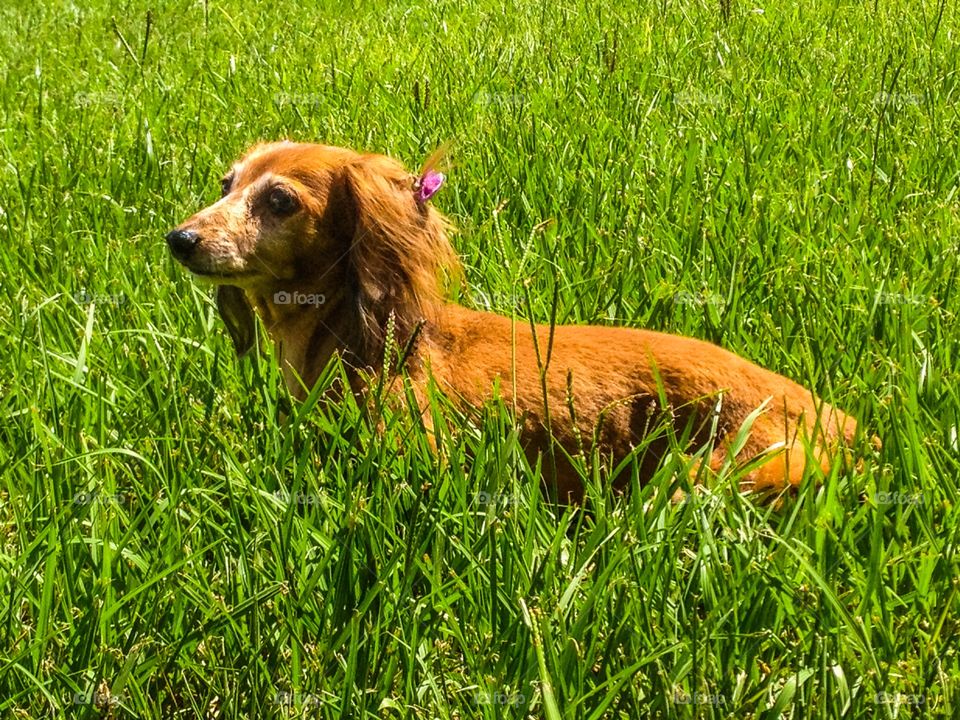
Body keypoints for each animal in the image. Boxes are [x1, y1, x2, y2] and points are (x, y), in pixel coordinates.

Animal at [169, 141, 868, 500]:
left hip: (709, 473)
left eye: (280, 200)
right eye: (227, 184)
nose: (179, 239)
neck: (360, 331)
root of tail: (842, 423)